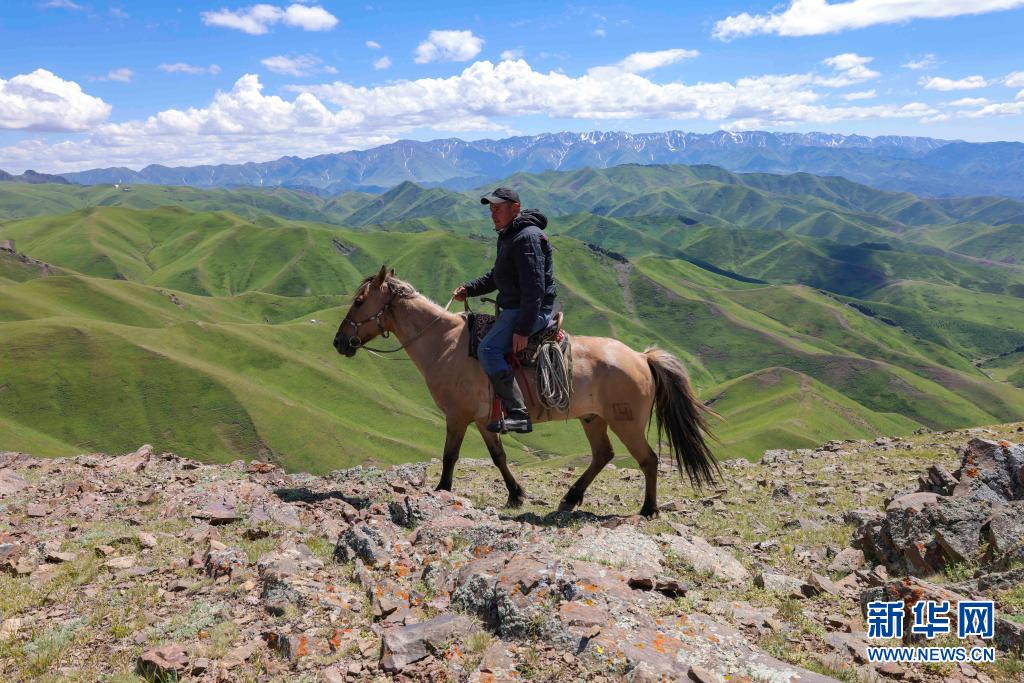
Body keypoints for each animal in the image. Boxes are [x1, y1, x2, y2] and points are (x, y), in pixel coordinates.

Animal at [332, 265, 720, 517]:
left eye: (359, 301)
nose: (339, 342)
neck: (444, 344)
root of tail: (641, 356)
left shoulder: (458, 416)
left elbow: (450, 455)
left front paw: (442, 491)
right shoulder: (485, 419)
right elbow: (498, 457)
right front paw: (516, 495)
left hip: (626, 423)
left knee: (648, 460)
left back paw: (648, 508)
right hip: (593, 418)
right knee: (603, 455)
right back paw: (570, 498)